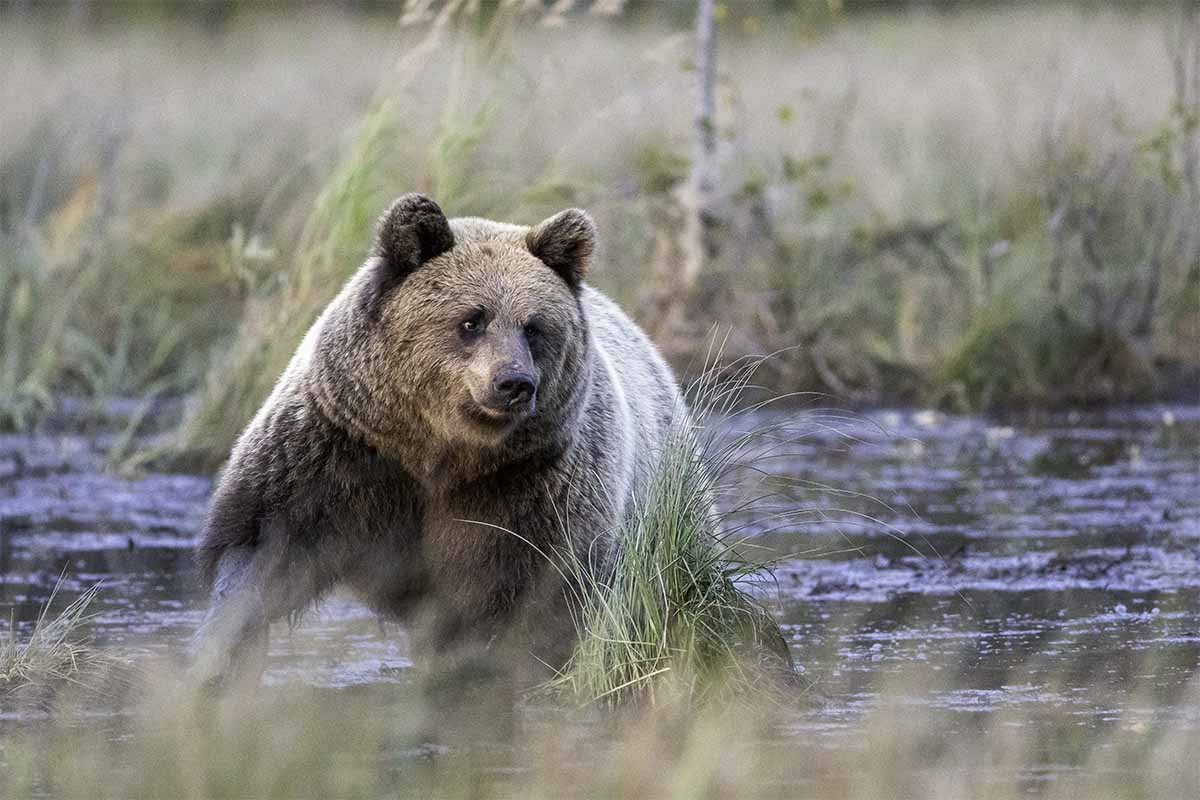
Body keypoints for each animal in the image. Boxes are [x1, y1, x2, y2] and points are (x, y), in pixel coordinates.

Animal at [190, 193, 685, 687]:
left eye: (533, 326)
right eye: (472, 320)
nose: (514, 383)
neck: (439, 451)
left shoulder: (532, 486)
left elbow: (528, 599)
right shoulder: (339, 451)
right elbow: (260, 543)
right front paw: (221, 655)